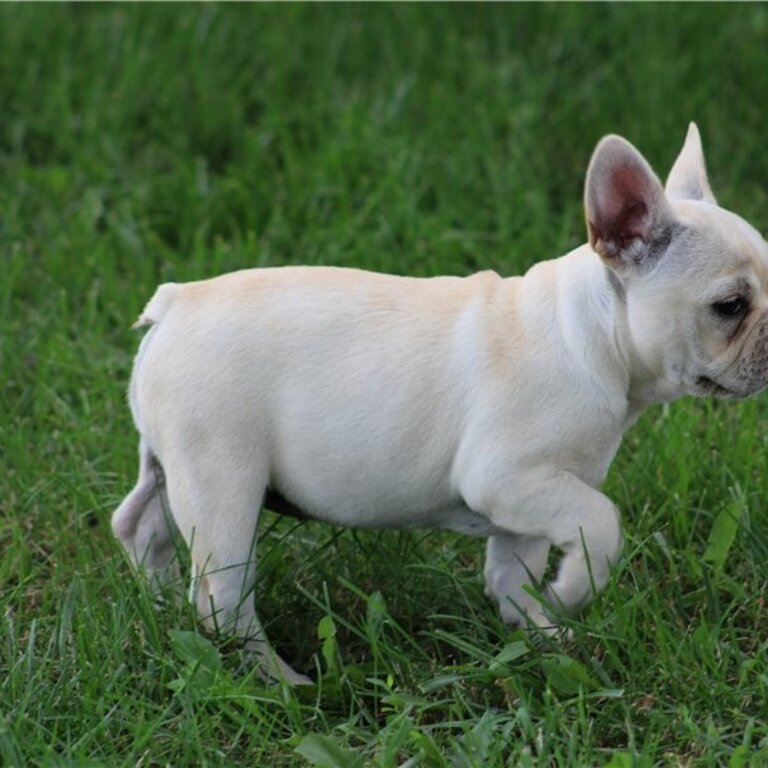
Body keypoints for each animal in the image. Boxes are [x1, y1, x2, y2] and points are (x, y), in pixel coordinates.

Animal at [111, 126, 768, 684]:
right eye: (730, 306)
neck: (590, 338)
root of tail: (175, 305)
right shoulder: (509, 479)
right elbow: (601, 524)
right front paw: (573, 593)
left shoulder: (530, 506)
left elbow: (513, 576)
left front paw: (544, 635)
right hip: (222, 478)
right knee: (222, 599)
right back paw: (283, 682)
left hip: (172, 464)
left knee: (141, 523)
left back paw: (158, 606)